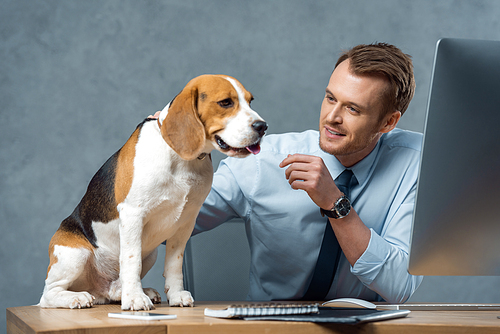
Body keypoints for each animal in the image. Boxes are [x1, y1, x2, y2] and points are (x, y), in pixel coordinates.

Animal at [38, 75, 266, 310]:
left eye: (251, 101)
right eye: (225, 103)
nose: (262, 126)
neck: (179, 157)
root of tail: (97, 290)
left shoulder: (186, 223)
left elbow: (174, 263)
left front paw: (176, 295)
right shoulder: (133, 214)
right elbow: (131, 260)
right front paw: (135, 298)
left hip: (151, 253)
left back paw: (128, 292)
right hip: (75, 255)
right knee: (48, 295)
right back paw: (77, 297)